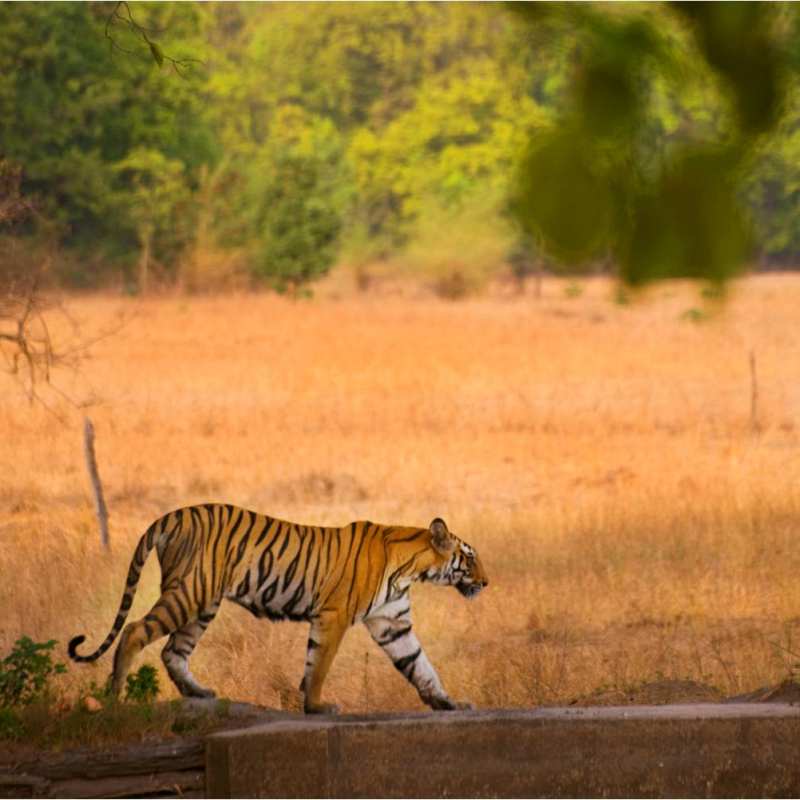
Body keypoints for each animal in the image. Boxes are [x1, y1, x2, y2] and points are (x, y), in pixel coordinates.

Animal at [68, 504, 488, 714]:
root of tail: (171, 515)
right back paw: (115, 695)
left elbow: (421, 666)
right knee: (134, 630)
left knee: (174, 651)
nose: (486, 583)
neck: (410, 570)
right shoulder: (333, 616)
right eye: (470, 558)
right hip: (191, 591)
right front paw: (316, 706)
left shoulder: (392, 623)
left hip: (203, 603)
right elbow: (319, 665)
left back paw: (198, 693)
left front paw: (447, 702)